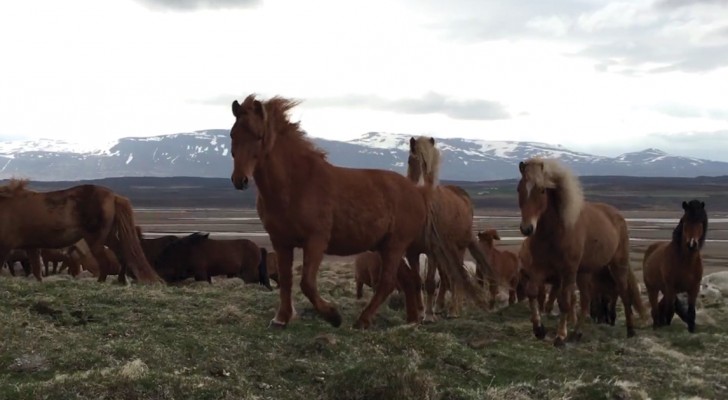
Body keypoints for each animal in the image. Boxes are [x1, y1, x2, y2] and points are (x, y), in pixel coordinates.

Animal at [0, 180, 161, 282]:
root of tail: (114, 196)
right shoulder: (32, 247)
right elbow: (37, 270)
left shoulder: (6, 245)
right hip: (108, 237)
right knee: (121, 255)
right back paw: (121, 281)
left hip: (95, 239)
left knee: (105, 262)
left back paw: (101, 282)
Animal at [406, 138, 492, 322]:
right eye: (411, 160)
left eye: (430, 165)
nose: (422, 192)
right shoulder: (412, 252)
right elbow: (417, 282)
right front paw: (420, 313)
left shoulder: (431, 251)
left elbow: (430, 283)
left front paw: (429, 316)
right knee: (447, 278)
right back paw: (440, 307)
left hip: (457, 249)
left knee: (455, 276)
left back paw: (454, 310)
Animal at [516, 158, 644, 346]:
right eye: (519, 188)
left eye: (542, 190)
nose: (527, 228)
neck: (553, 233)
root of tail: (617, 214)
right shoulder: (538, 268)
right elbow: (532, 292)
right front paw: (539, 329)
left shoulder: (568, 271)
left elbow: (565, 301)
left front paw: (560, 336)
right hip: (584, 273)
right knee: (586, 300)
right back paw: (577, 333)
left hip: (617, 266)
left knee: (624, 294)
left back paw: (631, 330)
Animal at [644, 198, 708, 332]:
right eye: (685, 221)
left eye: (700, 222)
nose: (692, 244)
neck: (685, 261)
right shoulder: (670, 287)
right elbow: (669, 311)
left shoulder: (694, 289)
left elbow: (691, 312)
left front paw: (691, 329)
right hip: (653, 288)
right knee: (656, 307)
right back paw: (656, 325)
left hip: (665, 290)